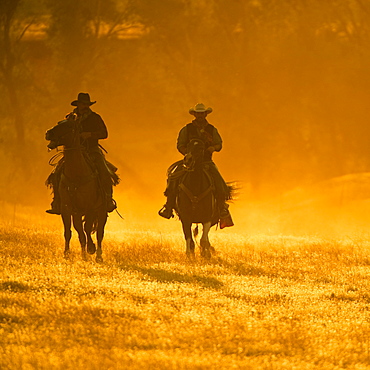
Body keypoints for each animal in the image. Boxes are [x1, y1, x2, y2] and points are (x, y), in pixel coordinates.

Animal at [45, 118, 107, 264]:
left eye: (68, 126)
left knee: (99, 232)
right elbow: (70, 232)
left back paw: (98, 255)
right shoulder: (68, 209)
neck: (77, 174)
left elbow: (87, 229)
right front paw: (68, 254)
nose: (48, 133)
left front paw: (90, 250)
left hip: (101, 211)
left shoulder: (89, 208)